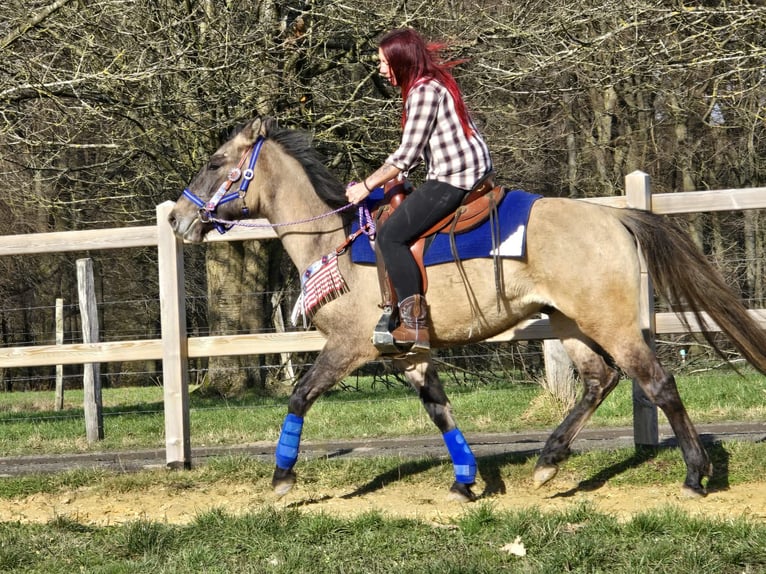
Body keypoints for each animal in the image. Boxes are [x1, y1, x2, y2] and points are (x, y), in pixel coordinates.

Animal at [168, 116, 766, 501]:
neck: (332, 242)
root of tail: (614, 215)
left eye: (216, 161)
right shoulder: (410, 355)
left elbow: (299, 396)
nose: (176, 218)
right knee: (599, 381)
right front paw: (465, 481)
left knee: (657, 383)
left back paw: (694, 476)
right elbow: (441, 412)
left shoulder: (347, 348)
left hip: (612, 324)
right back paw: (547, 464)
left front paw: (282, 479)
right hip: (569, 323)